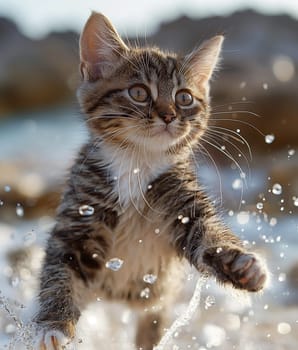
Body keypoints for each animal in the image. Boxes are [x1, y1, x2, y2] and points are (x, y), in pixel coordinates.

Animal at [33, 11, 268, 350]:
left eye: (184, 98)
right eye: (139, 93)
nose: (169, 115)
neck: (137, 164)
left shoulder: (184, 204)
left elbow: (208, 234)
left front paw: (241, 265)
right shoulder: (80, 216)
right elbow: (60, 272)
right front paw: (54, 325)